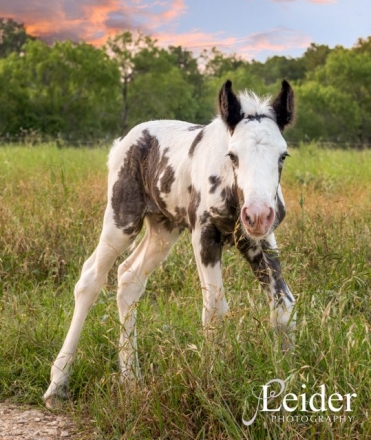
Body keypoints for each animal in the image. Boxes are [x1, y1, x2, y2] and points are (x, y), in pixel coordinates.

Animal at [44, 80, 296, 410]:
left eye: (282, 155)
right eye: (232, 155)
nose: (257, 214)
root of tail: (125, 141)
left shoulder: (261, 242)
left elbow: (283, 307)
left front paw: (288, 386)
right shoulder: (204, 236)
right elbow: (214, 311)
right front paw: (213, 389)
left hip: (163, 231)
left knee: (129, 278)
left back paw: (130, 381)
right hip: (121, 222)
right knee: (91, 279)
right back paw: (58, 383)